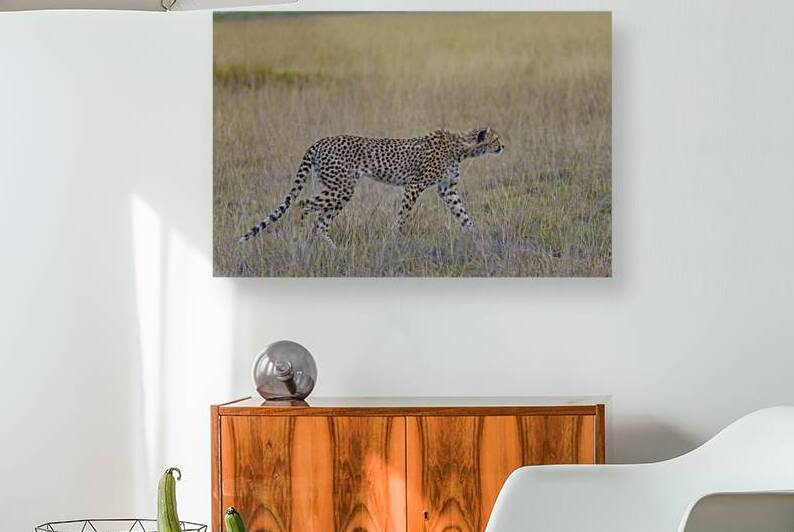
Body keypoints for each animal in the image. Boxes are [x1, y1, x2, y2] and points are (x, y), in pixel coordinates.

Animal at [238, 126, 504, 247]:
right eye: (496, 139)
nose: (503, 146)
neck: (462, 147)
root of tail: (320, 141)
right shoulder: (414, 186)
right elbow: (403, 216)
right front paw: (394, 238)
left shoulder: (446, 190)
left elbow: (464, 215)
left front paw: (478, 239)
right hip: (342, 187)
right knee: (301, 204)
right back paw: (296, 239)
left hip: (340, 190)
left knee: (320, 222)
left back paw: (334, 250)